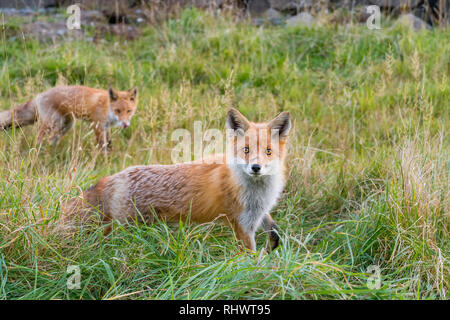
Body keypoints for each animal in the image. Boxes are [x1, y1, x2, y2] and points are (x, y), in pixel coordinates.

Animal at [0, 85, 137, 150]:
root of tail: (39, 95)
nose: (126, 124)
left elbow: (109, 144)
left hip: (66, 124)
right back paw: (37, 152)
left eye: (129, 111)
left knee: (51, 139)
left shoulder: (106, 127)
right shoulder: (97, 125)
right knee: (39, 138)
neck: (106, 107)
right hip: (52, 122)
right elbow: (103, 146)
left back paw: (51, 153)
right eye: (118, 111)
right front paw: (105, 161)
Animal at [63, 109, 290, 251]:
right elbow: (250, 258)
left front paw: (273, 244)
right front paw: (257, 273)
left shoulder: (257, 213)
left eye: (268, 151)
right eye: (246, 150)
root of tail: (116, 176)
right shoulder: (242, 225)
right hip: (125, 227)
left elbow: (272, 229)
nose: (256, 168)